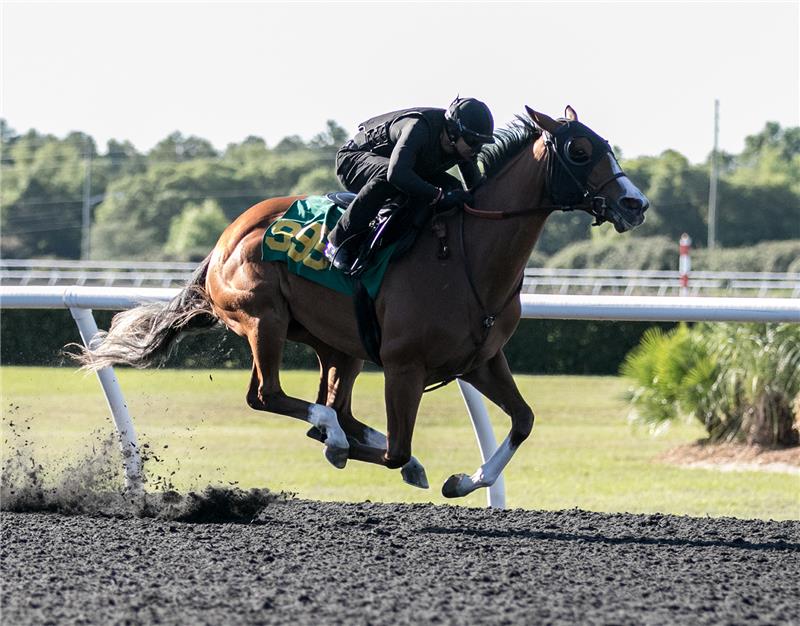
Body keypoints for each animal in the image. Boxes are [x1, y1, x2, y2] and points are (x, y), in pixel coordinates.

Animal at [75, 106, 648, 498]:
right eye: (579, 151)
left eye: (606, 145)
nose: (635, 203)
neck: (469, 255)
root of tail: (225, 238)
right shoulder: (404, 365)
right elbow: (396, 451)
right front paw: (401, 463)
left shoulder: (481, 360)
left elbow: (523, 420)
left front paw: (462, 481)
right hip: (264, 319)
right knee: (271, 396)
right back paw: (331, 435)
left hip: (340, 345)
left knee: (338, 407)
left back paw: (339, 434)